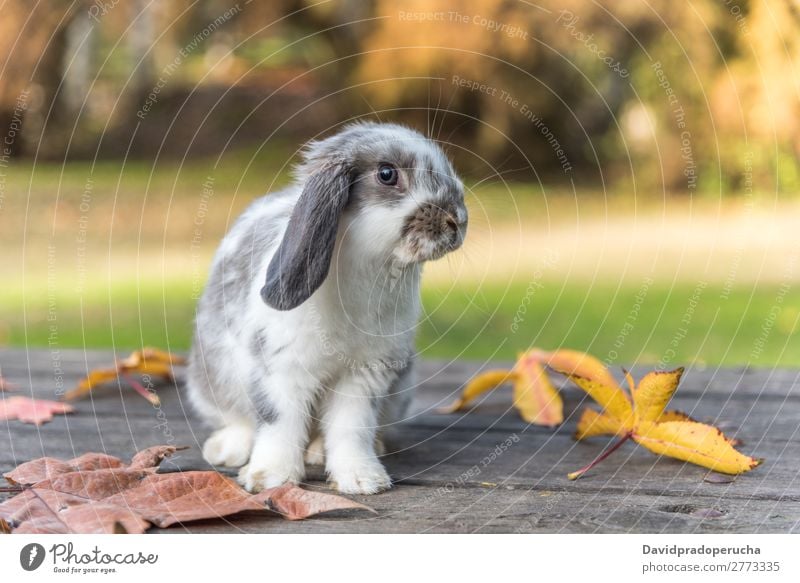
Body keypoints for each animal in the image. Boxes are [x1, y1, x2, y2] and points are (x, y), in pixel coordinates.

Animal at [184, 121, 466, 496]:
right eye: (387, 174)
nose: (457, 220)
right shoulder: (279, 371)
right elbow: (279, 424)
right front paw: (269, 478)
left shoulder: (364, 375)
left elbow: (351, 428)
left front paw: (362, 480)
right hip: (210, 382)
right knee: (238, 419)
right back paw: (228, 450)